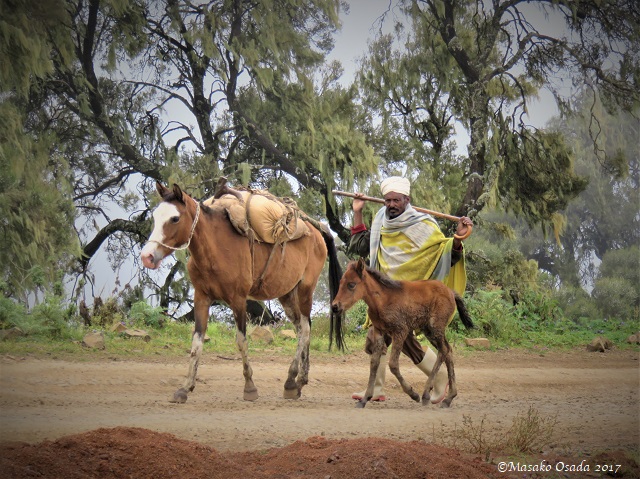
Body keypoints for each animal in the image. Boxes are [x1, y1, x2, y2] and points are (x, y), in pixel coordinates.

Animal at [141, 181, 344, 403]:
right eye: (154, 216)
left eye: (175, 218)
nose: (147, 257)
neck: (216, 247)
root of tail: (316, 231)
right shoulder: (201, 298)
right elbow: (197, 342)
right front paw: (185, 388)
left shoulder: (238, 300)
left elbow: (241, 341)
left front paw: (250, 387)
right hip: (287, 294)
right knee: (301, 329)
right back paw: (299, 381)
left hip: (305, 290)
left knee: (305, 330)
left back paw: (292, 381)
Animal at [331, 258, 473, 408]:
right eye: (341, 283)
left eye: (351, 284)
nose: (335, 307)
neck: (382, 300)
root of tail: (451, 292)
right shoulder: (379, 331)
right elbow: (374, 363)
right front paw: (364, 399)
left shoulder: (401, 330)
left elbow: (393, 364)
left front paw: (413, 394)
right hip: (429, 330)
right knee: (447, 351)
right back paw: (447, 398)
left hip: (436, 327)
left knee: (444, 350)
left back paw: (427, 395)